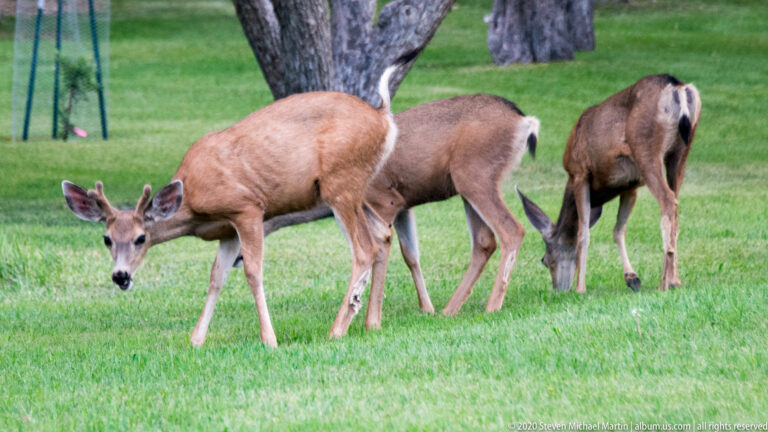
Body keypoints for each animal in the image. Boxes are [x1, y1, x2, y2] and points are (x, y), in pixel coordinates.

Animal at [61, 52, 420, 348]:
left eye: (140, 238)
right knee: (383, 234)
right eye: (107, 238)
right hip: (353, 188)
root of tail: (383, 116)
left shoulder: (246, 208)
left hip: (341, 182)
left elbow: (252, 271)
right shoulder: (226, 230)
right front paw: (196, 339)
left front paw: (269, 339)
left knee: (364, 247)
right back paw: (372, 323)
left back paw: (337, 329)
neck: (193, 205)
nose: (120, 276)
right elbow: (215, 278)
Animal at [259, 94, 540, 328]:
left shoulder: (385, 199)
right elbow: (411, 254)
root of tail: (524, 121)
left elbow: (380, 248)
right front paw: (426, 308)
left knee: (512, 230)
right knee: (484, 241)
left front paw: (372, 318)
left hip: (476, 174)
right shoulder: (405, 205)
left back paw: (491, 307)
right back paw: (449, 309)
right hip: (467, 185)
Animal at [516, 74, 701, 293]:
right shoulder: (630, 186)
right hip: (680, 152)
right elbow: (618, 230)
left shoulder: (580, 173)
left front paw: (580, 288)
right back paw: (675, 280)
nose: (559, 289)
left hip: (646, 148)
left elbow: (583, 232)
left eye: (544, 260)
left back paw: (666, 283)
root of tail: (678, 86)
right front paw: (632, 278)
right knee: (676, 212)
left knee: (667, 201)